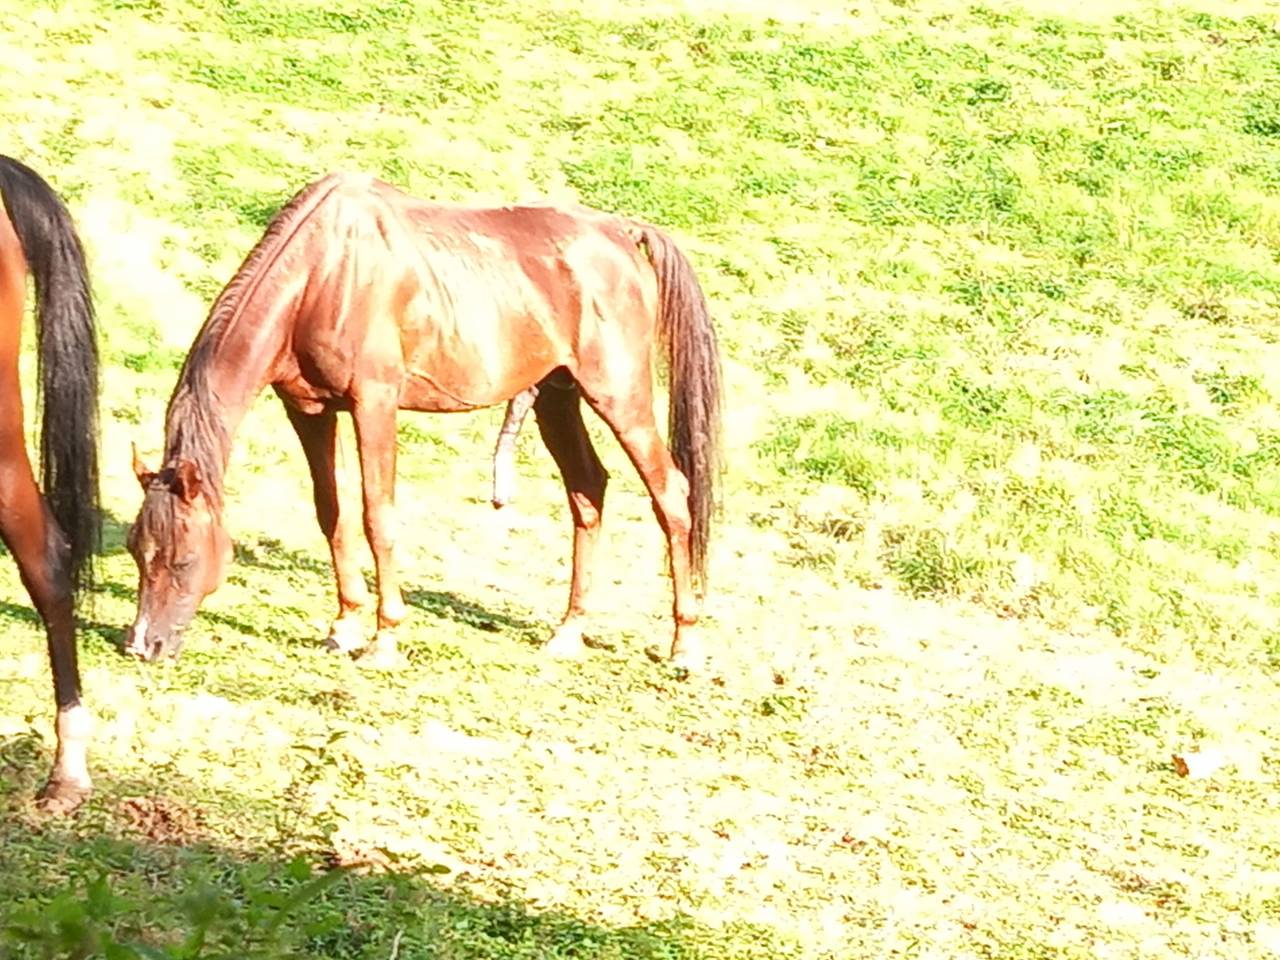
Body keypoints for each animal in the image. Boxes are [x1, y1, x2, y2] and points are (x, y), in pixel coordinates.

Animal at [126, 172, 721, 669]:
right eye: (135, 548)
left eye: (183, 559)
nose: (141, 645)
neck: (323, 274)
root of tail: (621, 232)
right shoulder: (309, 410)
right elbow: (331, 512)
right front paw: (344, 626)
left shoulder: (375, 404)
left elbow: (377, 516)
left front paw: (384, 639)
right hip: (557, 395)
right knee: (588, 491)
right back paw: (569, 632)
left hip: (620, 397)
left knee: (671, 495)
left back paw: (684, 644)